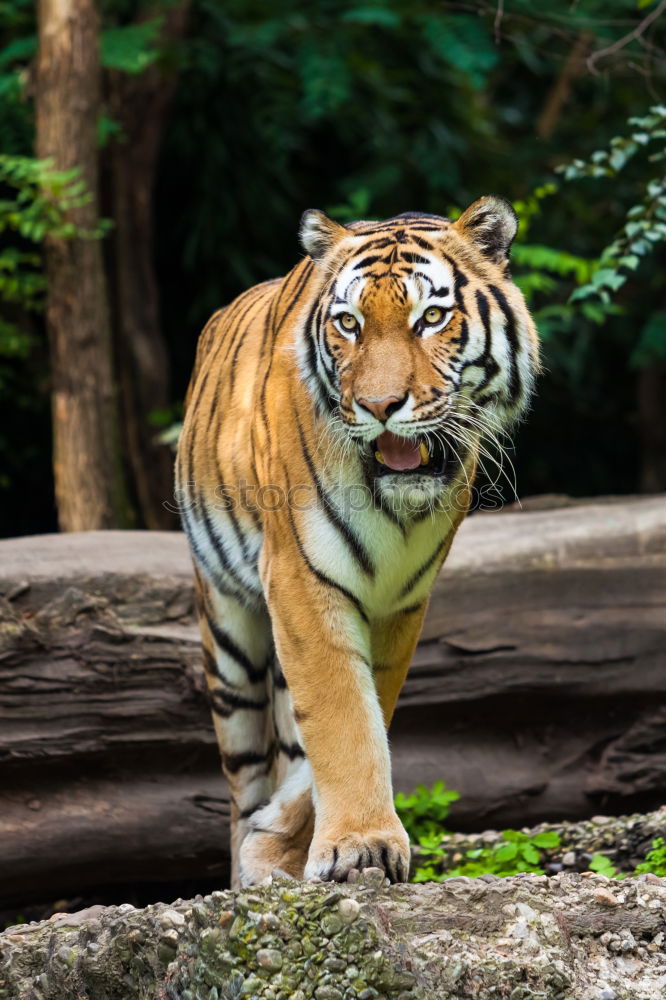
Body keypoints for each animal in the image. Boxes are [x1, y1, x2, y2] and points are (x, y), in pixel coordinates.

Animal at [174, 193, 536, 884]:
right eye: (348, 323)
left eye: (431, 317)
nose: (379, 405)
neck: (396, 506)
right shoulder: (299, 577)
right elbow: (343, 715)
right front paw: (357, 844)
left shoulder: (400, 600)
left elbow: (363, 716)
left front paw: (295, 844)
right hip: (228, 639)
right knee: (242, 781)